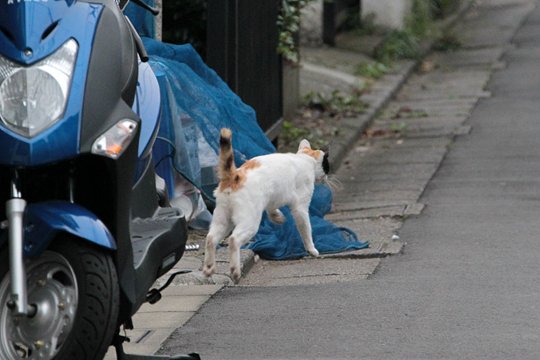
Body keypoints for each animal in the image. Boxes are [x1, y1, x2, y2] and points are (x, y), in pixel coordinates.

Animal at [202, 128, 330, 282]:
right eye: (327, 166)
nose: (327, 177)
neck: (305, 158)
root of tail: (234, 175)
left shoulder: (273, 197)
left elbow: (271, 209)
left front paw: (277, 217)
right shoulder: (300, 209)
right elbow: (306, 230)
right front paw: (312, 250)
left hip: (223, 221)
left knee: (210, 238)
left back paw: (209, 268)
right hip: (249, 223)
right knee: (234, 240)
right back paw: (235, 271)